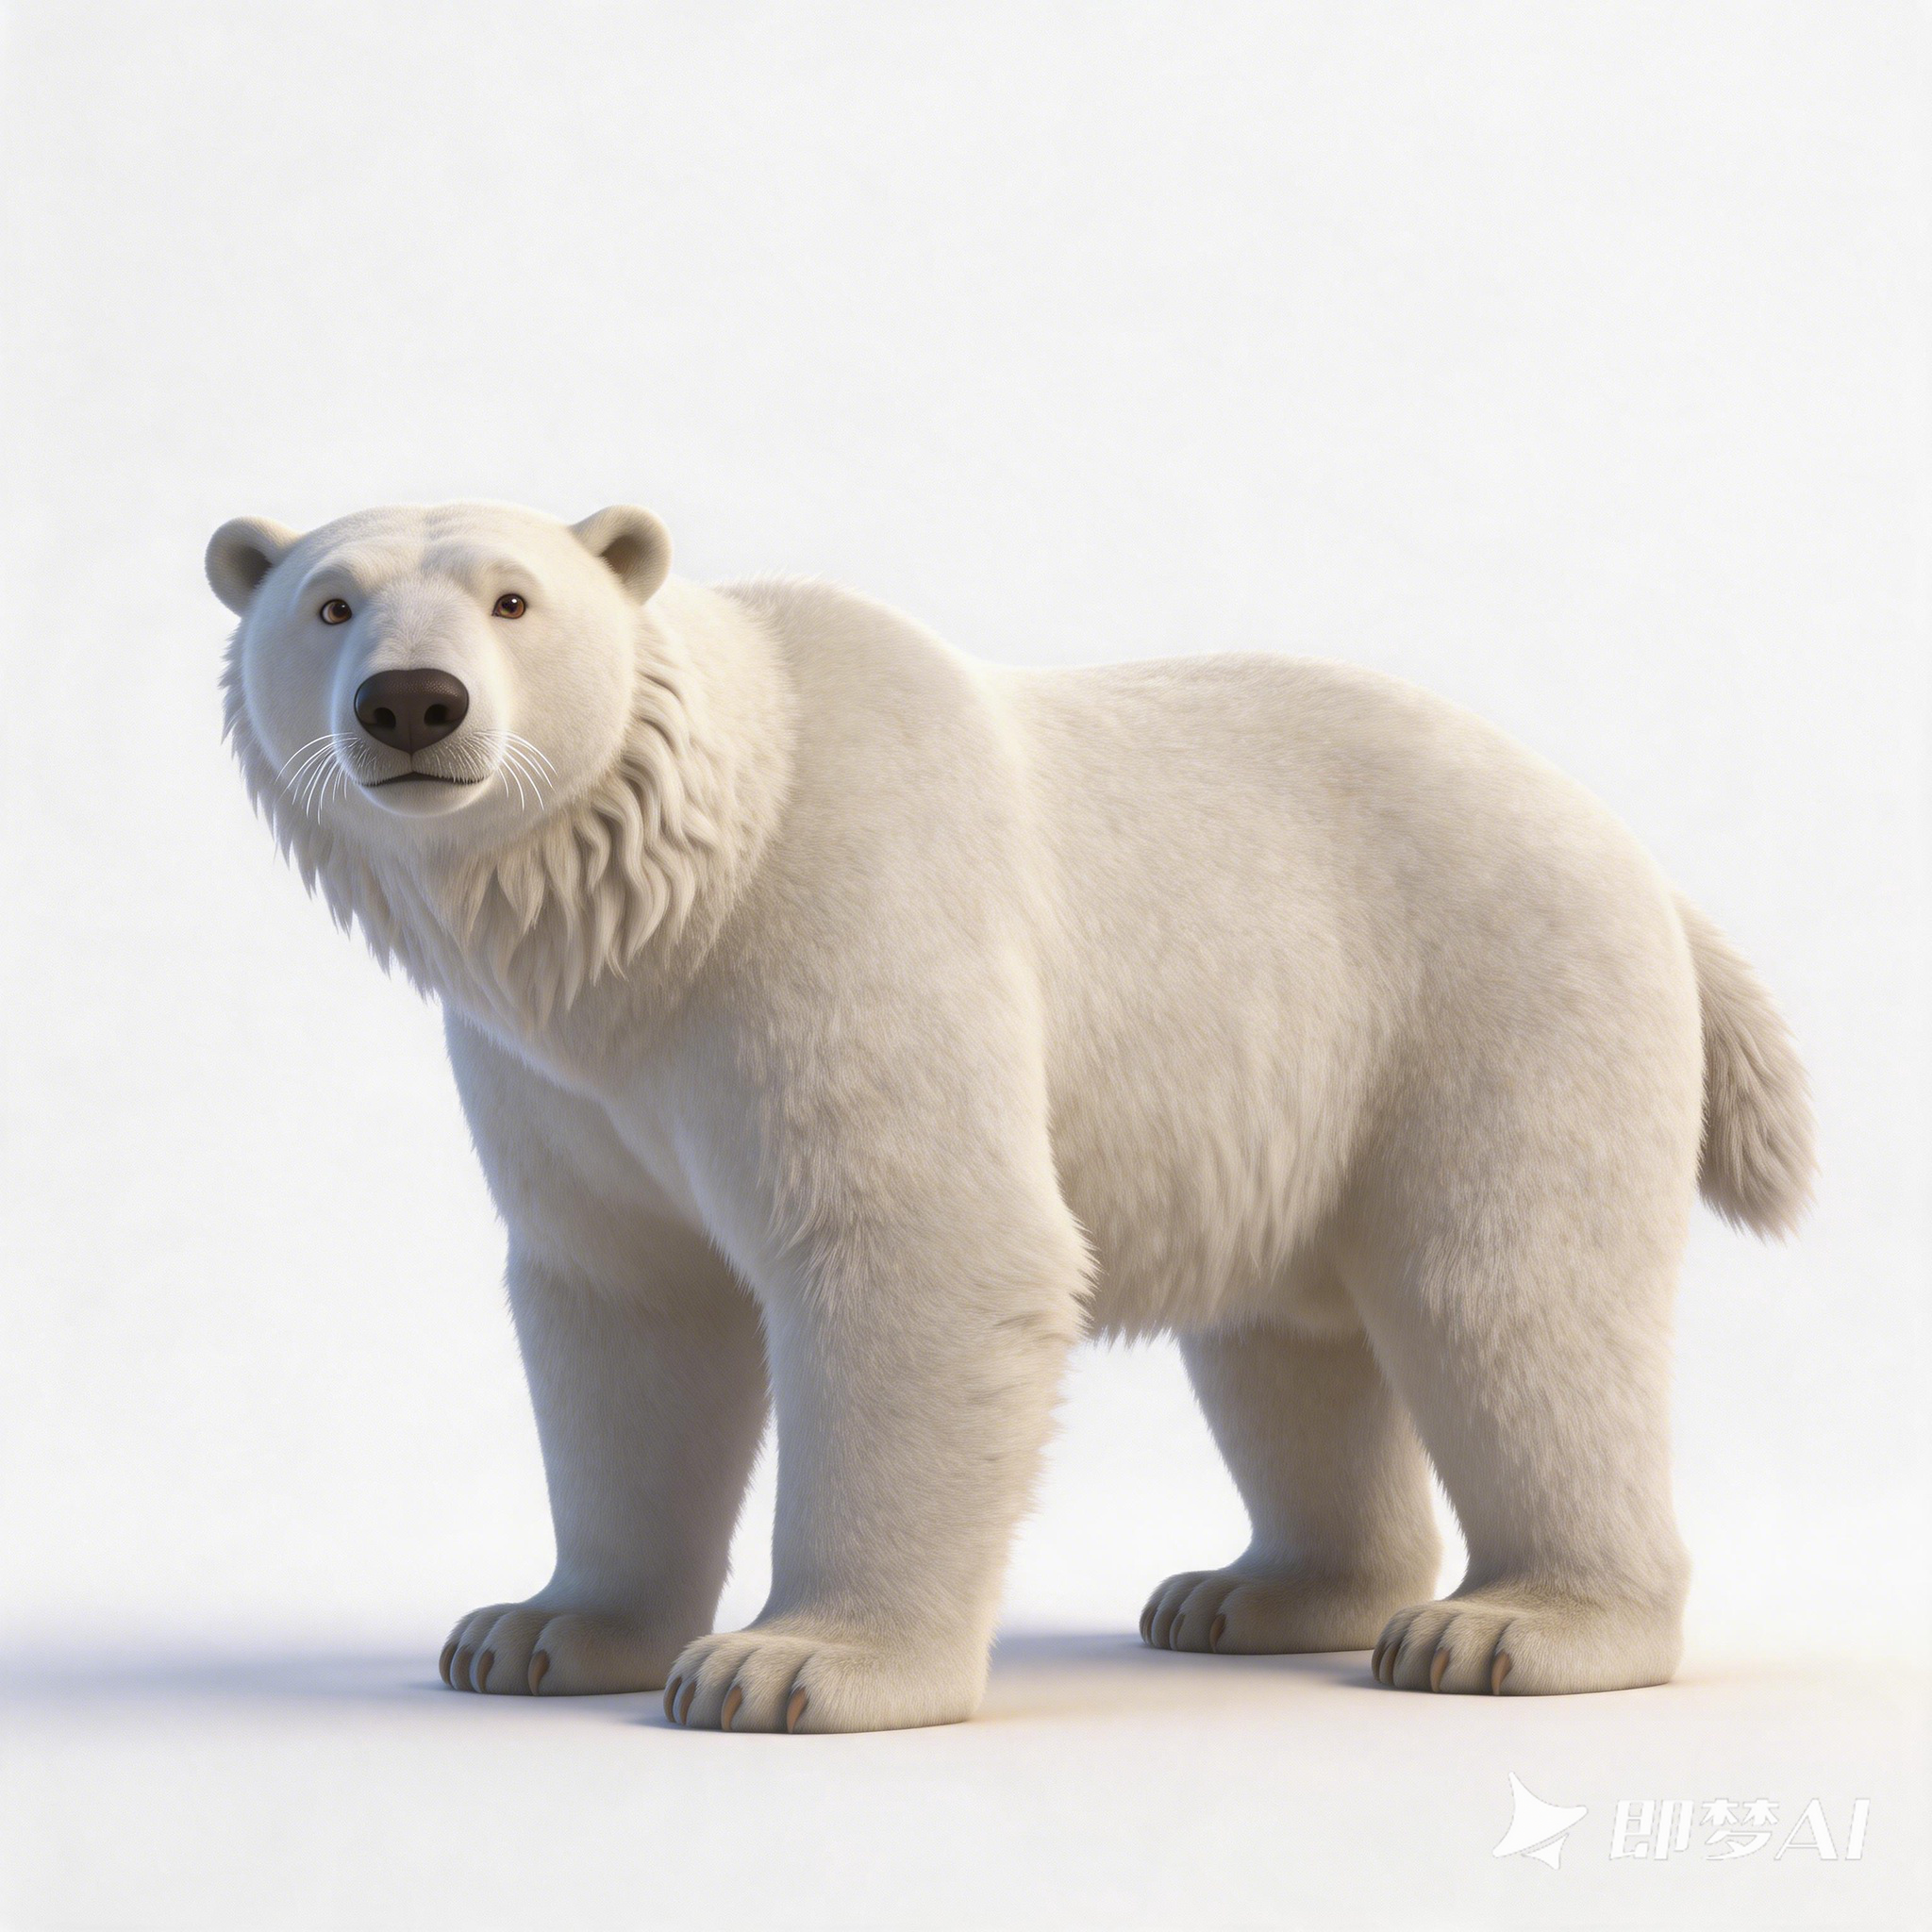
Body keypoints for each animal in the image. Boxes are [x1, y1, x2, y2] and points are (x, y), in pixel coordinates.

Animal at [208, 499, 1814, 1732]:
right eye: (329, 603)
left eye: (514, 596)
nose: (414, 701)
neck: (673, 894)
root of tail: (1647, 869)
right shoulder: (561, 1078)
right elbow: (626, 1308)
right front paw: (536, 1632)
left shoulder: (847, 917)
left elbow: (920, 1250)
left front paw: (790, 1665)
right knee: (1289, 1347)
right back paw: (1257, 1592)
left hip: (1493, 996)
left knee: (1507, 1299)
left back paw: (1511, 1629)